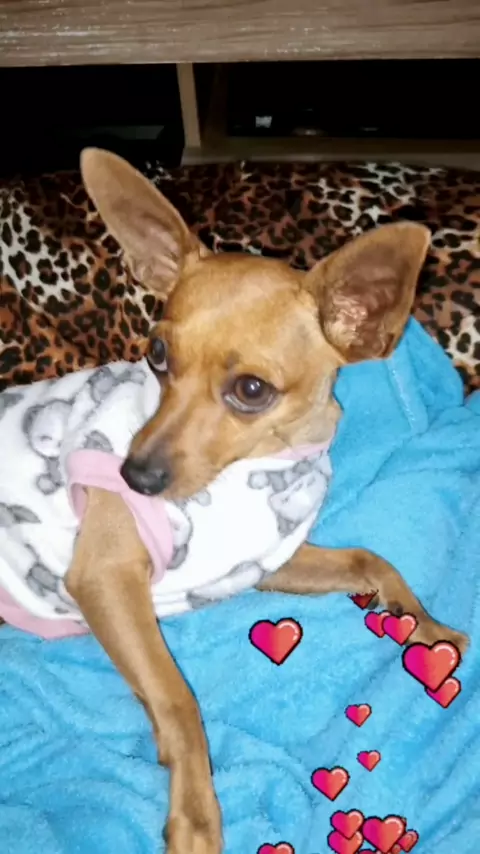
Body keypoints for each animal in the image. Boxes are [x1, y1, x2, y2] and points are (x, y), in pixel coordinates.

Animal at [0, 149, 468, 854]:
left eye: (251, 390)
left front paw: (427, 627)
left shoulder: (266, 561)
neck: (249, 475)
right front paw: (196, 813)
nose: (133, 476)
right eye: (156, 354)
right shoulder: (104, 578)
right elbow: (176, 698)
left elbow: (370, 559)